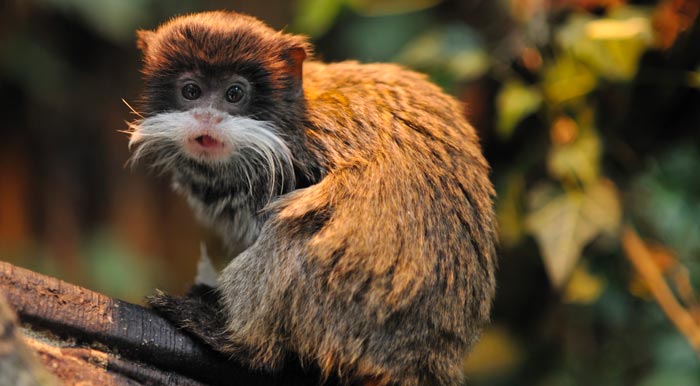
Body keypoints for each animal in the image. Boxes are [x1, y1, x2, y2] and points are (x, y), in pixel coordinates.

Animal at [127, 11, 498, 386]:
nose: (207, 118)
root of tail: (428, 358)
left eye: (234, 93)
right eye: (191, 91)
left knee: (293, 231)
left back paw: (239, 342)